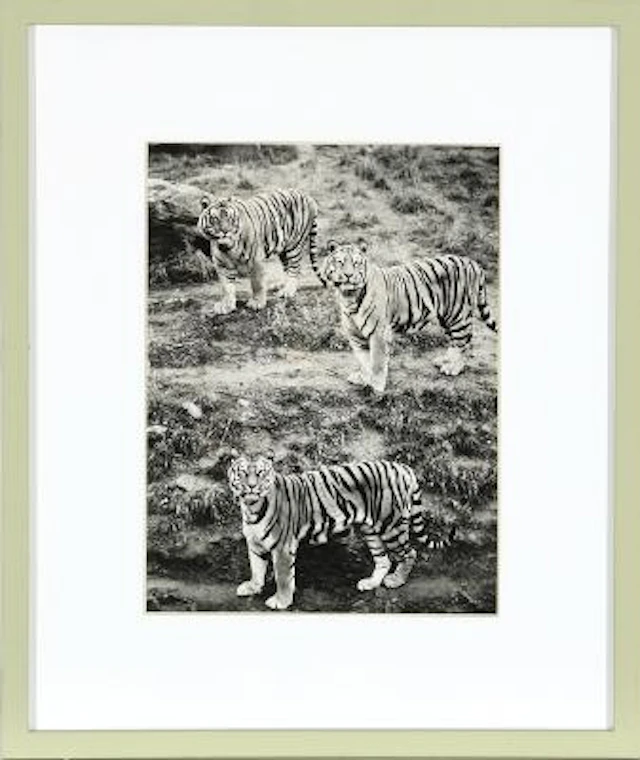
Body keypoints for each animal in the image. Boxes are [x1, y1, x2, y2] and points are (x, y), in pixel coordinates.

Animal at [228, 455, 453, 610]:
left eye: (260, 474)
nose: (251, 487)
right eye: (242, 473)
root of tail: (402, 467)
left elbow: (283, 577)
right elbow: (256, 569)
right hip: (370, 530)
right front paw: (252, 587)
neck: (251, 508)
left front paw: (281, 601)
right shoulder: (255, 544)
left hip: (391, 526)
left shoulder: (282, 547)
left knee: (409, 553)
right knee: (384, 559)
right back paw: (371, 583)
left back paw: (396, 580)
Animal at [312, 239, 498, 393]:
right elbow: (364, 361)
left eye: (357, 263)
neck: (348, 297)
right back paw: (444, 361)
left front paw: (377, 387)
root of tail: (473, 262)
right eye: (340, 262)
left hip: (457, 314)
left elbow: (377, 363)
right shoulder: (356, 337)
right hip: (446, 316)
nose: (349, 275)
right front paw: (363, 378)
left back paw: (453, 368)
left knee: (464, 342)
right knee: (455, 341)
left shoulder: (378, 333)